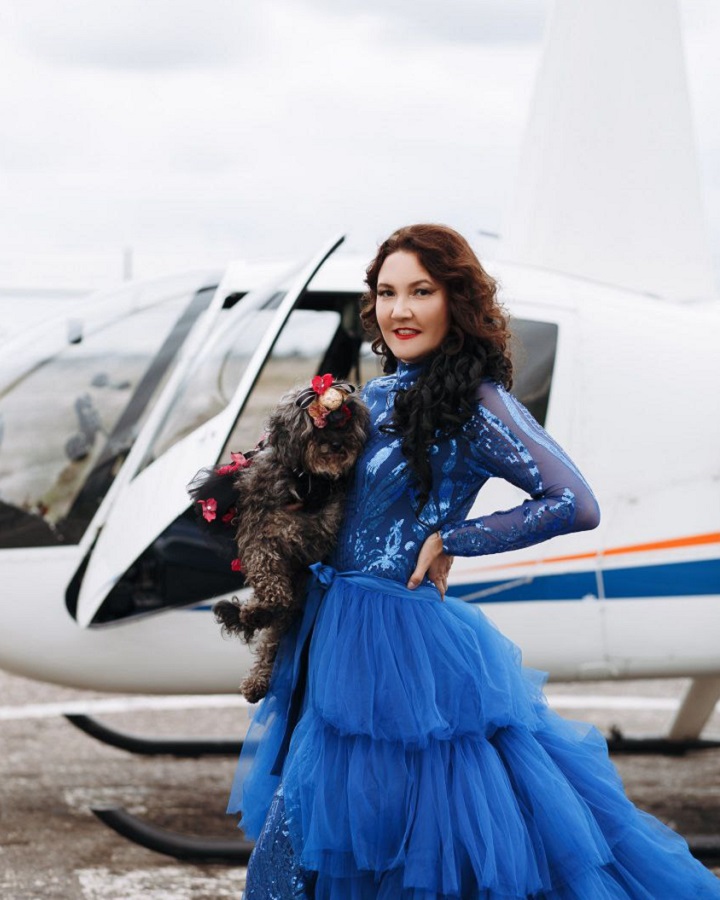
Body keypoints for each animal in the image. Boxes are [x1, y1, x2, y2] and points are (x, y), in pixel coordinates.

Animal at [190, 375, 369, 703]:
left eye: (346, 422)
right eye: (317, 425)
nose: (337, 443)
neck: (307, 479)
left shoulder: (322, 525)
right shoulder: (261, 535)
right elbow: (269, 576)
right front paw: (262, 605)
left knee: (275, 635)